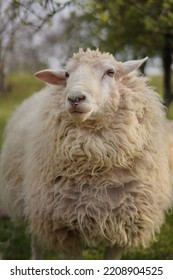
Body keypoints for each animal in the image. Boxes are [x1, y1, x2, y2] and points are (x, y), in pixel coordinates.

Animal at [0, 48, 173, 260]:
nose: (75, 98)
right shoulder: (64, 228)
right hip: (36, 205)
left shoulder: (124, 225)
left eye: (110, 72)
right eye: (67, 75)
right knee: (36, 240)